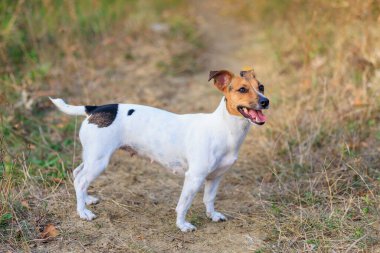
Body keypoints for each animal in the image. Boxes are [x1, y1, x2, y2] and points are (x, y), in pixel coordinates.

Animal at [50, 68, 268, 232]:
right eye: (242, 89)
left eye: (261, 87)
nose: (266, 101)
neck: (224, 128)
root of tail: (94, 109)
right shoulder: (194, 178)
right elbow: (183, 204)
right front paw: (182, 225)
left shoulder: (215, 177)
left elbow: (209, 198)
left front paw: (212, 215)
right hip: (99, 160)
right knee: (81, 180)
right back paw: (82, 212)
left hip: (92, 157)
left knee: (78, 174)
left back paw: (87, 200)